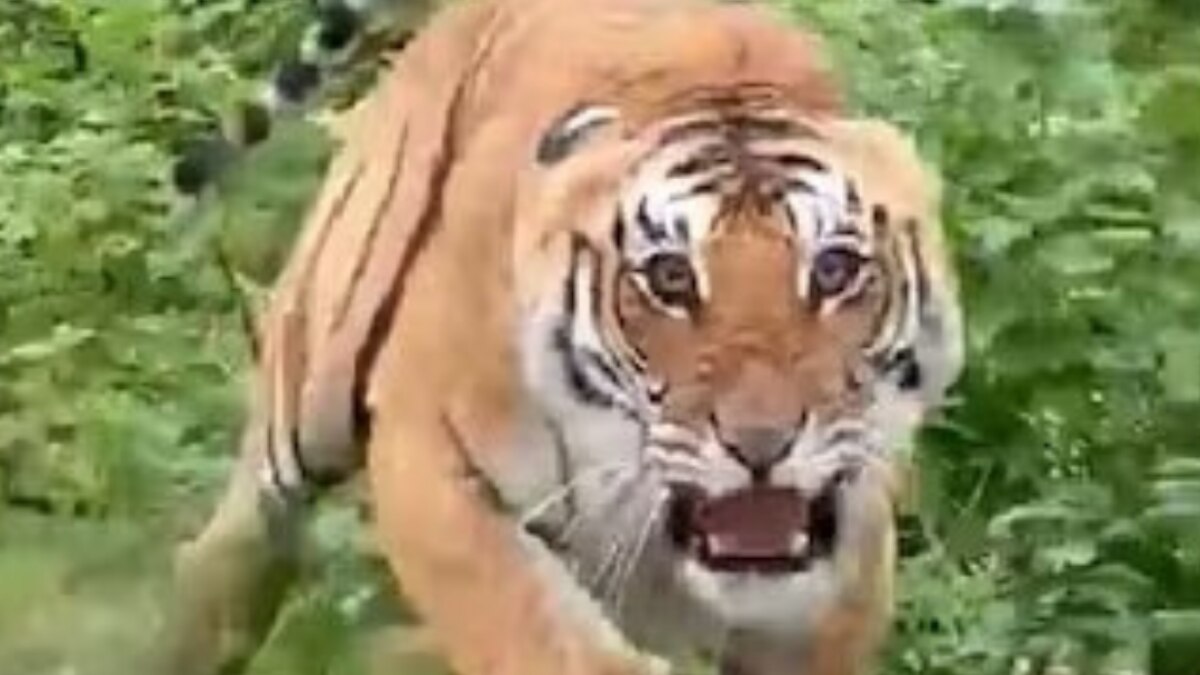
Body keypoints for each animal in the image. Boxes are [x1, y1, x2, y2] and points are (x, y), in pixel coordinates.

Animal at [155, 0, 963, 673]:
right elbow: (540, 637)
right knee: (233, 546)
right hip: (316, 369)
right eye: (669, 278)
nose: (761, 445)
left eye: (834, 269)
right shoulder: (431, 458)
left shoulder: (846, 566)